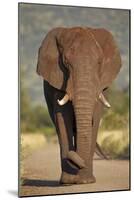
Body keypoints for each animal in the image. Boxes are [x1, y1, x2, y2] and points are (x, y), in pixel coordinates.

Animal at [36, 26, 121, 184]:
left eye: (99, 62)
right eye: (66, 62)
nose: (72, 155)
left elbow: (95, 119)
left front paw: (86, 181)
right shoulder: (58, 81)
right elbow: (62, 119)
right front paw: (69, 181)